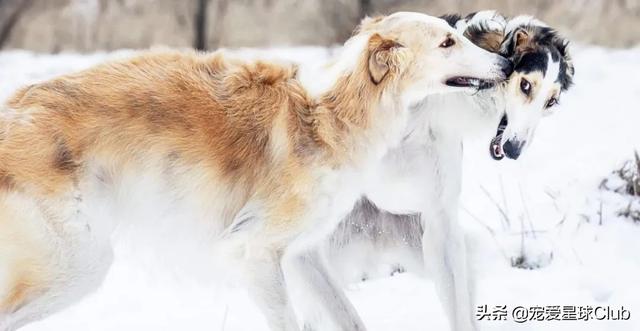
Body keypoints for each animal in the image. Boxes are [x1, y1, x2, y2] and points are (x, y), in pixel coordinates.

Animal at [0, 11, 510, 330]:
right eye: (447, 42)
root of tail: (14, 110)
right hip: (78, 263)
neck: (332, 114)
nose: (506, 62)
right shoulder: (255, 254)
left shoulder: (304, 252)